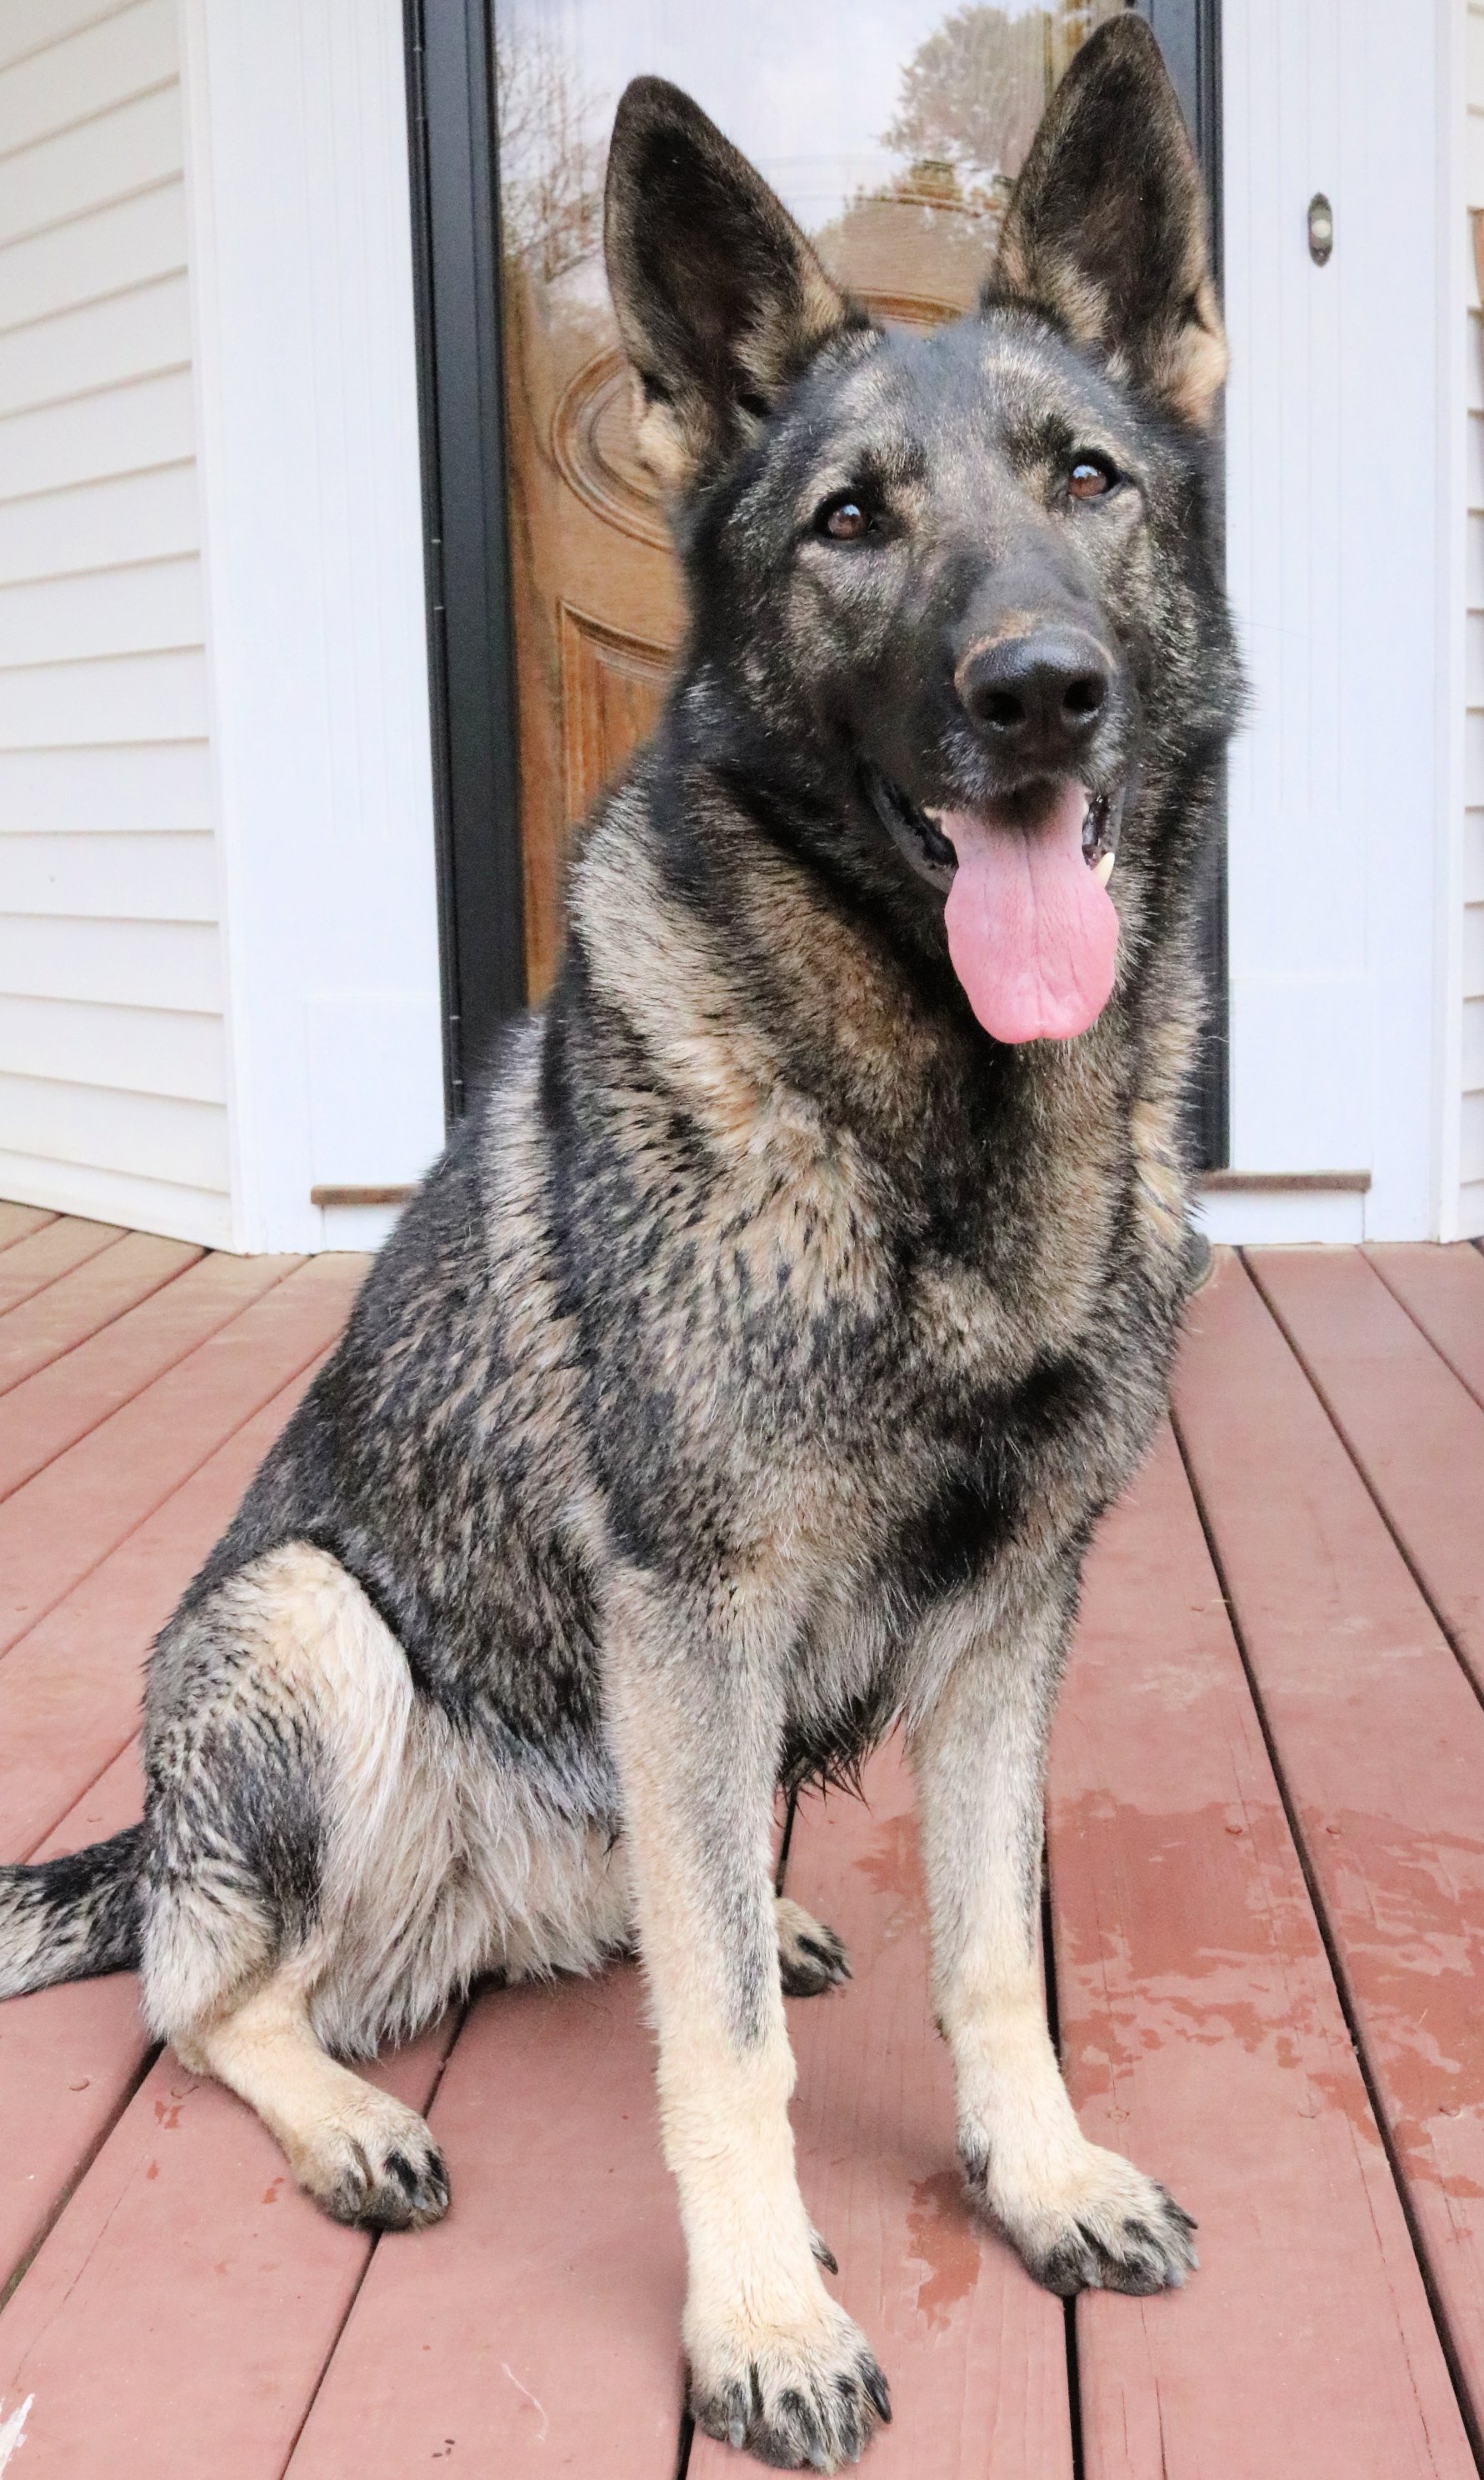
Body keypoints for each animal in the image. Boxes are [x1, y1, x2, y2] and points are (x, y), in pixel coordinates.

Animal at [0, 24, 1246, 2480]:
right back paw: (342, 2112)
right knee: (213, 1997)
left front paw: (1036, 2175)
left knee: (642, 1926)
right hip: (316, 1631)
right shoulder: (694, 1610)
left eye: (1085, 481)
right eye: (849, 524)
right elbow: (726, 2055)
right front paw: (760, 2316)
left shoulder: (1014, 1614)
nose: (1038, 690)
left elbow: (986, 1949)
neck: (937, 1120)